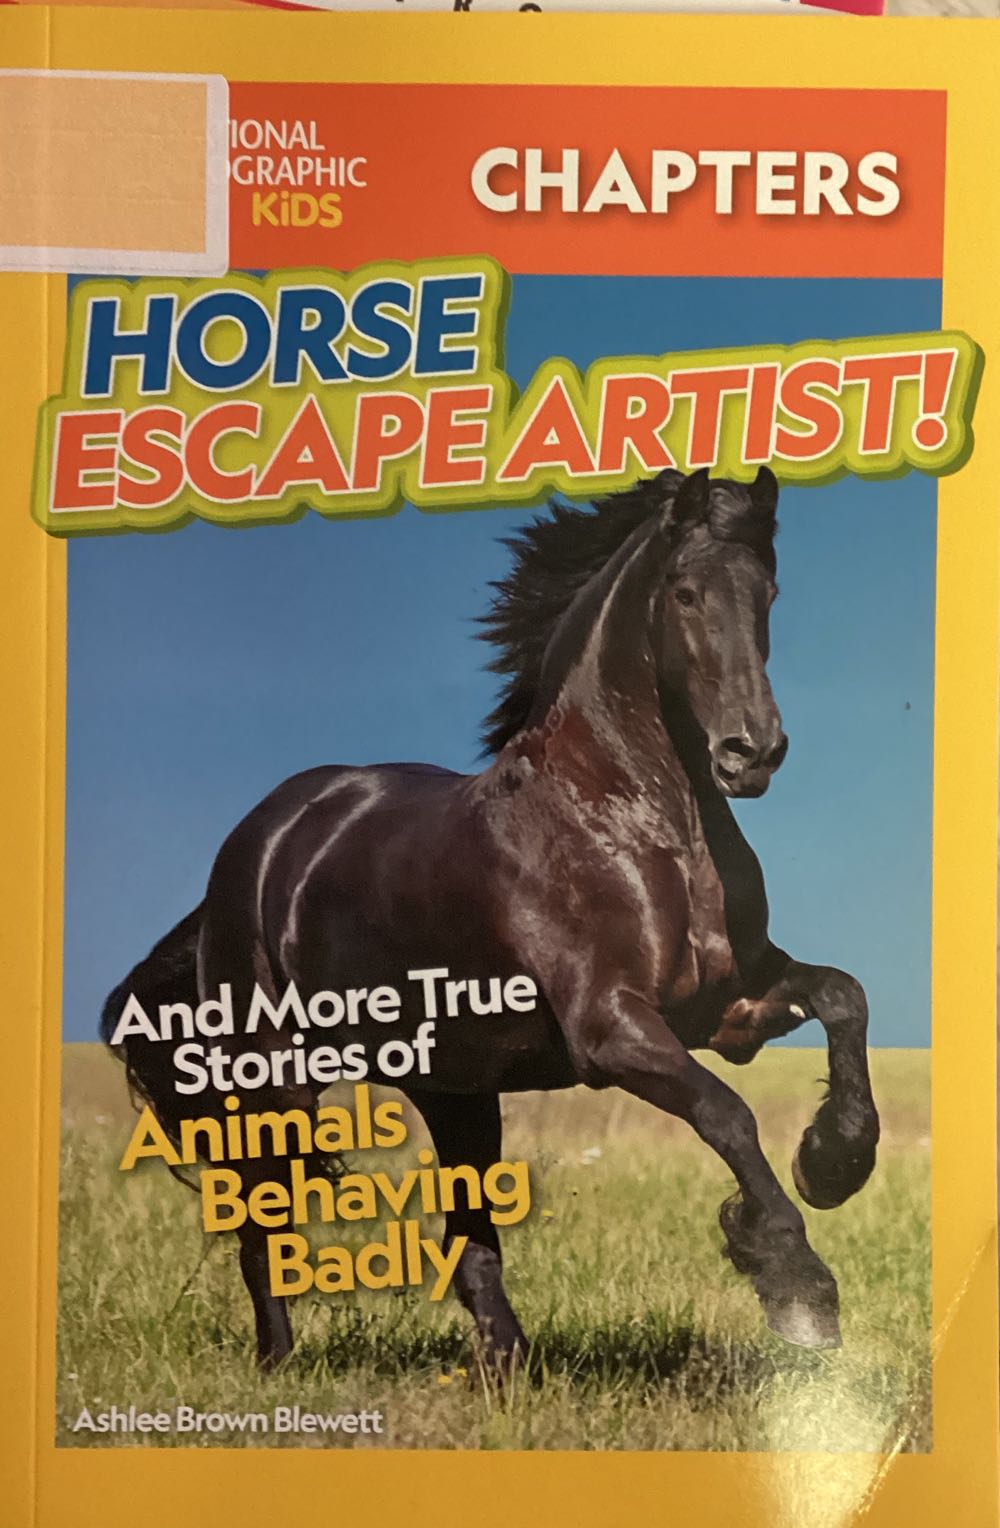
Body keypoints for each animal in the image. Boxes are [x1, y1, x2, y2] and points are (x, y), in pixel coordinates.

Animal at [102, 465, 880, 1369]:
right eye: (686, 592)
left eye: (768, 592)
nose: (750, 753)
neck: (637, 822)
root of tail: (255, 845)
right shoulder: (612, 1030)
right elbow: (729, 1115)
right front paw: (797, 1286)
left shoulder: (729, 1008)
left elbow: (843, 996)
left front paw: (834, 1161)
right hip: (275, 1081)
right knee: (263, 1222)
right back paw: (279, 1363)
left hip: (457, 1090)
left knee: (470, 1243)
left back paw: (508, 1367)